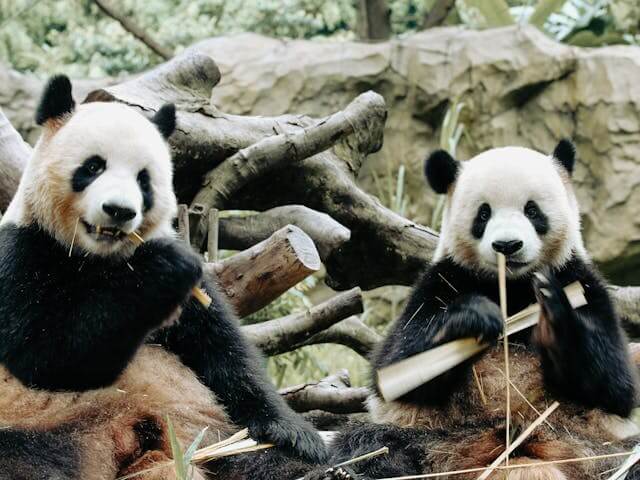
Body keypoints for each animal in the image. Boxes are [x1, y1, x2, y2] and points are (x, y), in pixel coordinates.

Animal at [0, 75, 327, 479]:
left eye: (144, 180)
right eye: (92, 167)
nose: (119, 211)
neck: (99, 259)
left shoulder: (193, 299)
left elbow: (223, 353)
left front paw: (295, 433)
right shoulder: (23, 253)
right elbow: (45, 357)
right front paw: (163, 269)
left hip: (208, 436)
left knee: (255, 458)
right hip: (39, 423)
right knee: (29, 458)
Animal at [311, 141, 640, 480]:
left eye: (532, 210)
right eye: (483, 213)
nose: (507, 245)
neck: (512, 286)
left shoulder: (581, 282)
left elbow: (615, 384)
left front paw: (553, 320)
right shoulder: (441, 281)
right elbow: (395, 365)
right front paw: (474, 318)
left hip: (589, 444)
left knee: (627, 455)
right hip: (433, 437)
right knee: (372, 444)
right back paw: (345, 471)